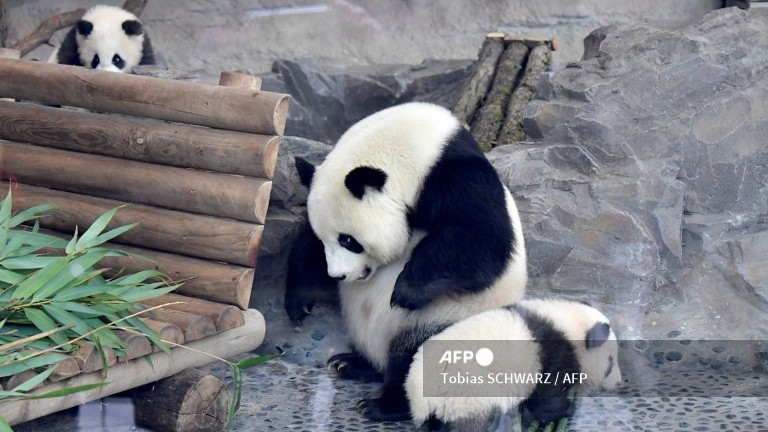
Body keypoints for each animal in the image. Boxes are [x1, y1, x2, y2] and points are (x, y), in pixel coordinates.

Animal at [285, 102, 528, 420]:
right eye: (326, 239)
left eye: (348, 240)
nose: (337, 276)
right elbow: (306, 247)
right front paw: (299, 301)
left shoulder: (454, 178)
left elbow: (482, 239)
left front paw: (405, 291)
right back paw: (353, 364)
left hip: (451, 320)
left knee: (419, 362)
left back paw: (384, 404)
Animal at [405, 298, 622, 431]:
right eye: (610, 364)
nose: (619, 383)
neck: (566, 326)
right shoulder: (551, 354)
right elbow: (546, 398)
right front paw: (565, 409)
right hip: (468, 393)